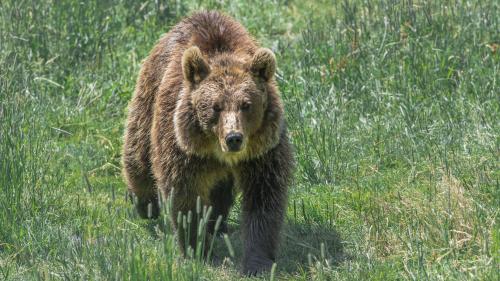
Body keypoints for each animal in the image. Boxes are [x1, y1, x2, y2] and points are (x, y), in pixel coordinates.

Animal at [122, 10, 292, 274]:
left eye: (246, 105)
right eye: (216, 106)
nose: (234, 138)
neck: (219, 153)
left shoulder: (262, 154)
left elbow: (264, 200)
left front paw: (258, 261)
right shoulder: (184, 150)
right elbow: (185, 197)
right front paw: (196, 248)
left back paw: (216, 224)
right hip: (150, 93)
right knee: (138, 151)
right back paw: (144, 204)